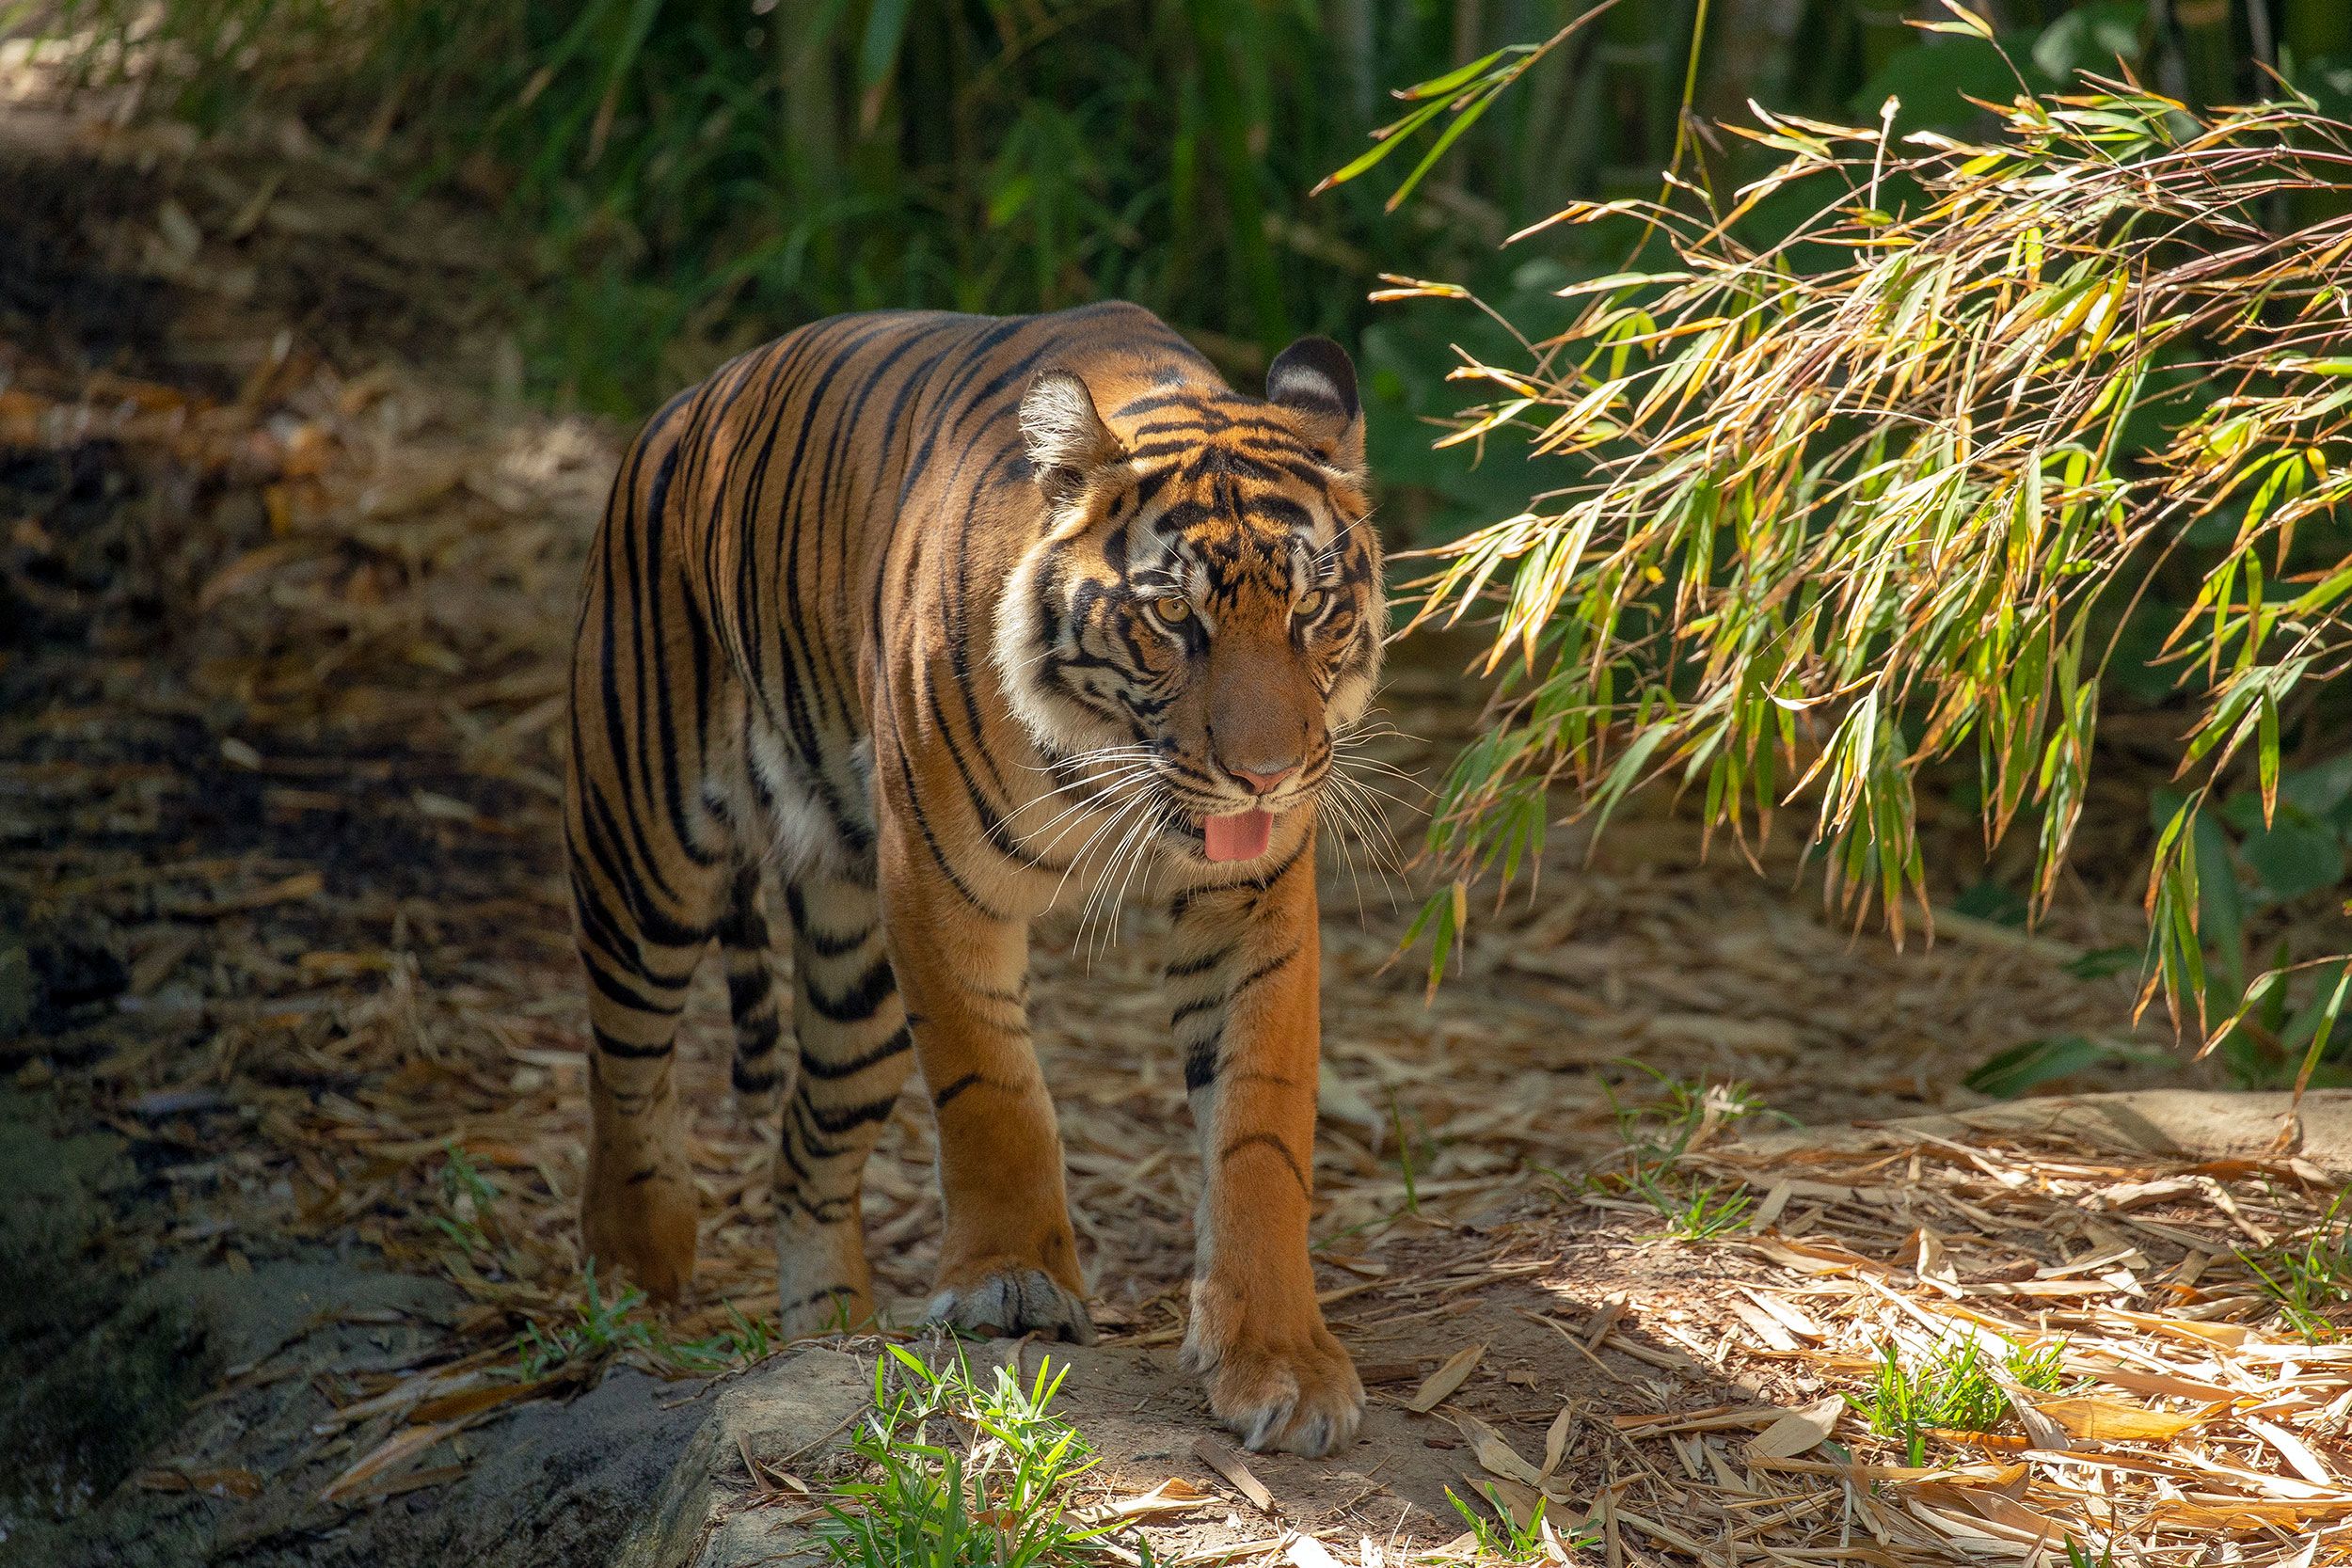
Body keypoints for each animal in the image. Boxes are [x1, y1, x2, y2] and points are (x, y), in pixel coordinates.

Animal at [562, 303, 1383, 1457]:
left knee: (804, 1152)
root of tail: (686, 405)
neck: (1106, 771)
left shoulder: (1252, 903)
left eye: (1314, 608)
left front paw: (1281, 1363)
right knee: (623, 1056)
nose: (1266, 774)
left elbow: (1259, 1129)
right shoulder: (935, 881)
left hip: (853, 972)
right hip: (646, 849)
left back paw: (829, 1338)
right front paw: (1013, 1286)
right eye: (1174, 619)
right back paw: (636, 1268)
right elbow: (992, 1088)